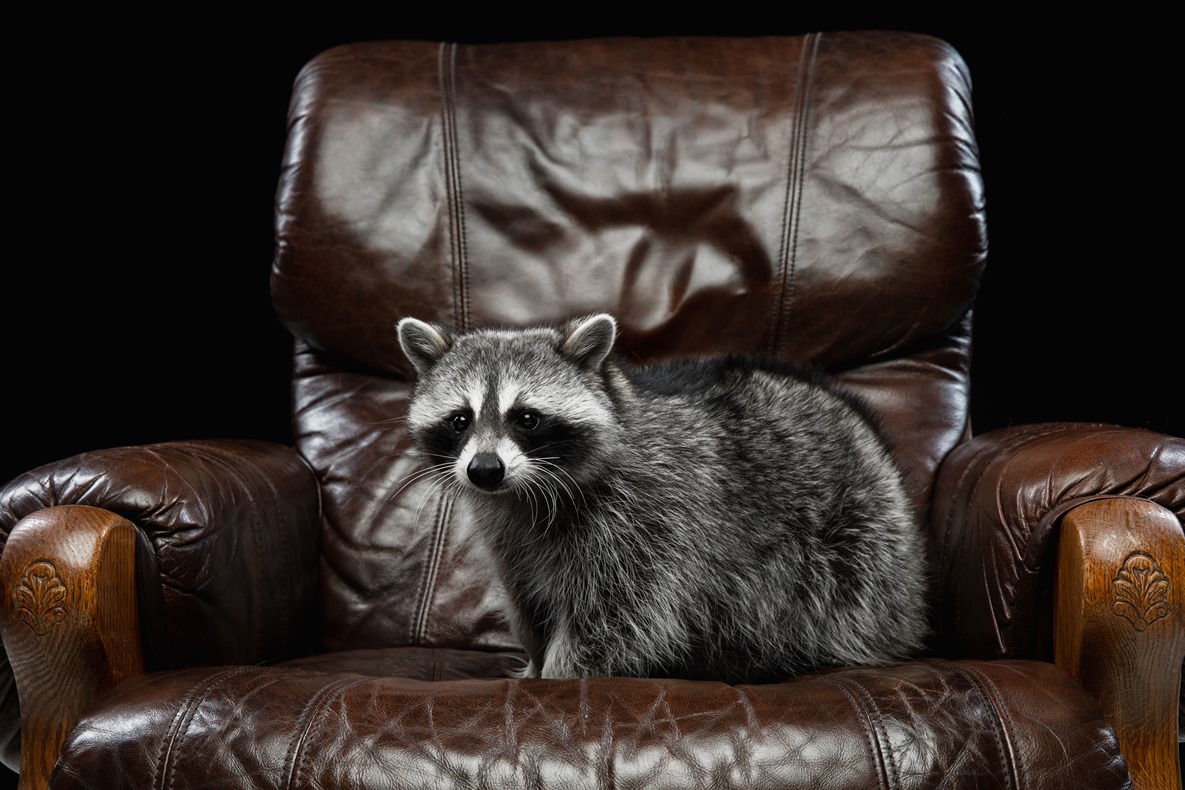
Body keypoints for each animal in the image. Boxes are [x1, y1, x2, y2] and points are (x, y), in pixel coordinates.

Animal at [397, 313, 928, 682]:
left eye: (526, 418)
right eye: (460, 420)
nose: (485, 470)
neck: (523, 493)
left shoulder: (649, 516)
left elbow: (618, 617)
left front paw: (558, 673)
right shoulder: (508, 532)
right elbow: (528, 603)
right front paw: (534, 659)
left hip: (857, 539)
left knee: (840, 596)